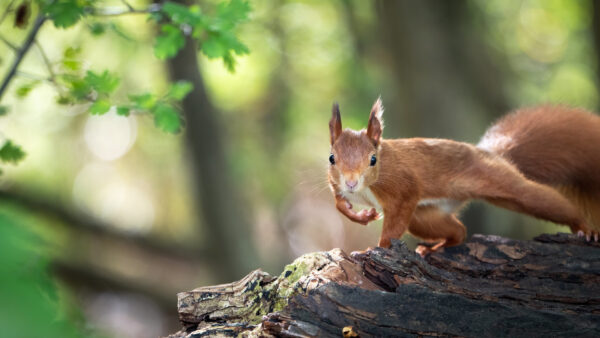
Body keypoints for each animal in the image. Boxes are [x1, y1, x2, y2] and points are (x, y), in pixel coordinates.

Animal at [328, 97, 600, 254]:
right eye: (332, 158)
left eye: (373, 160)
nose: (351, 182)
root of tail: (489, 153)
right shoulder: (335, 184)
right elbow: (338, 203)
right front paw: (360, 214)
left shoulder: (403, 188)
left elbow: (393, 227)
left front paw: (376, 249)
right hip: (425, 216)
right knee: (459, 231)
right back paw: (436, 248)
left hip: (502, 182)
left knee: (546, 201)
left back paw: (585, 228)